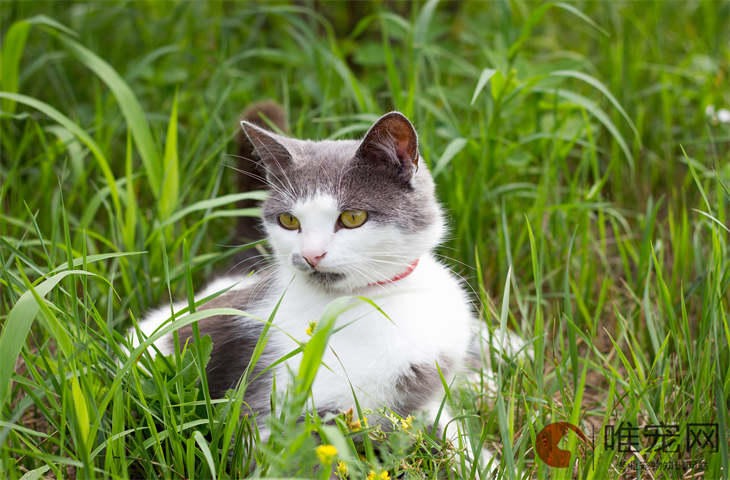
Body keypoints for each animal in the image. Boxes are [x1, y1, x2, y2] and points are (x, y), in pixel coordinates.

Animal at [126, 106, 512, 472]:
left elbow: (454, 432)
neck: (371, 301)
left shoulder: (426, 391)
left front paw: (489, 464)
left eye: (353, 218)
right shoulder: (269, 409)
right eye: (288, 220)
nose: (311, 255)